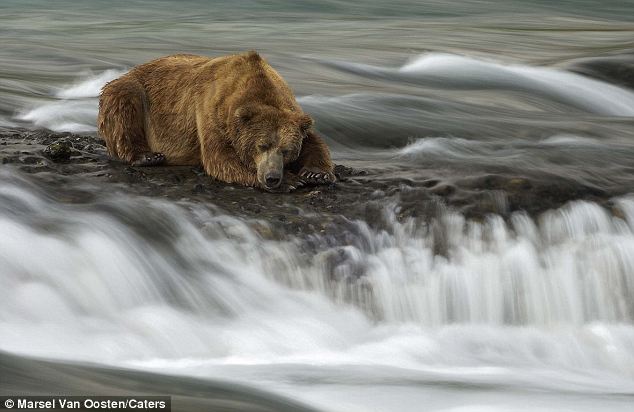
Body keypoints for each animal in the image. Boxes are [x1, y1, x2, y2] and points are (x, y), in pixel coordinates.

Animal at [97, 51, 334, 192]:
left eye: (286, 150)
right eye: (262, 145)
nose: (272, 177)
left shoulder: (293, 112)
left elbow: (315, 142)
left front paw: (315, 173)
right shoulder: (209, 110)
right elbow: (220, 158)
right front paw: (292, 181)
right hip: (133, 91)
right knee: (124, 104)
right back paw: (148, 156)